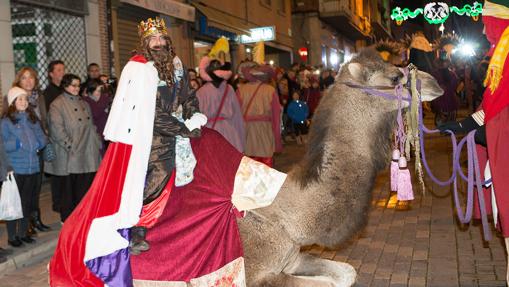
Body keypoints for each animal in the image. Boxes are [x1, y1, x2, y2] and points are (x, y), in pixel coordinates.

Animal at [238, 48, 440, 286]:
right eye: (395, 77)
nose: (435, 83)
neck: (287, 222)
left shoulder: (293, 258)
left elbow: (346, 273)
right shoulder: (254, 277)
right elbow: (329, 282)